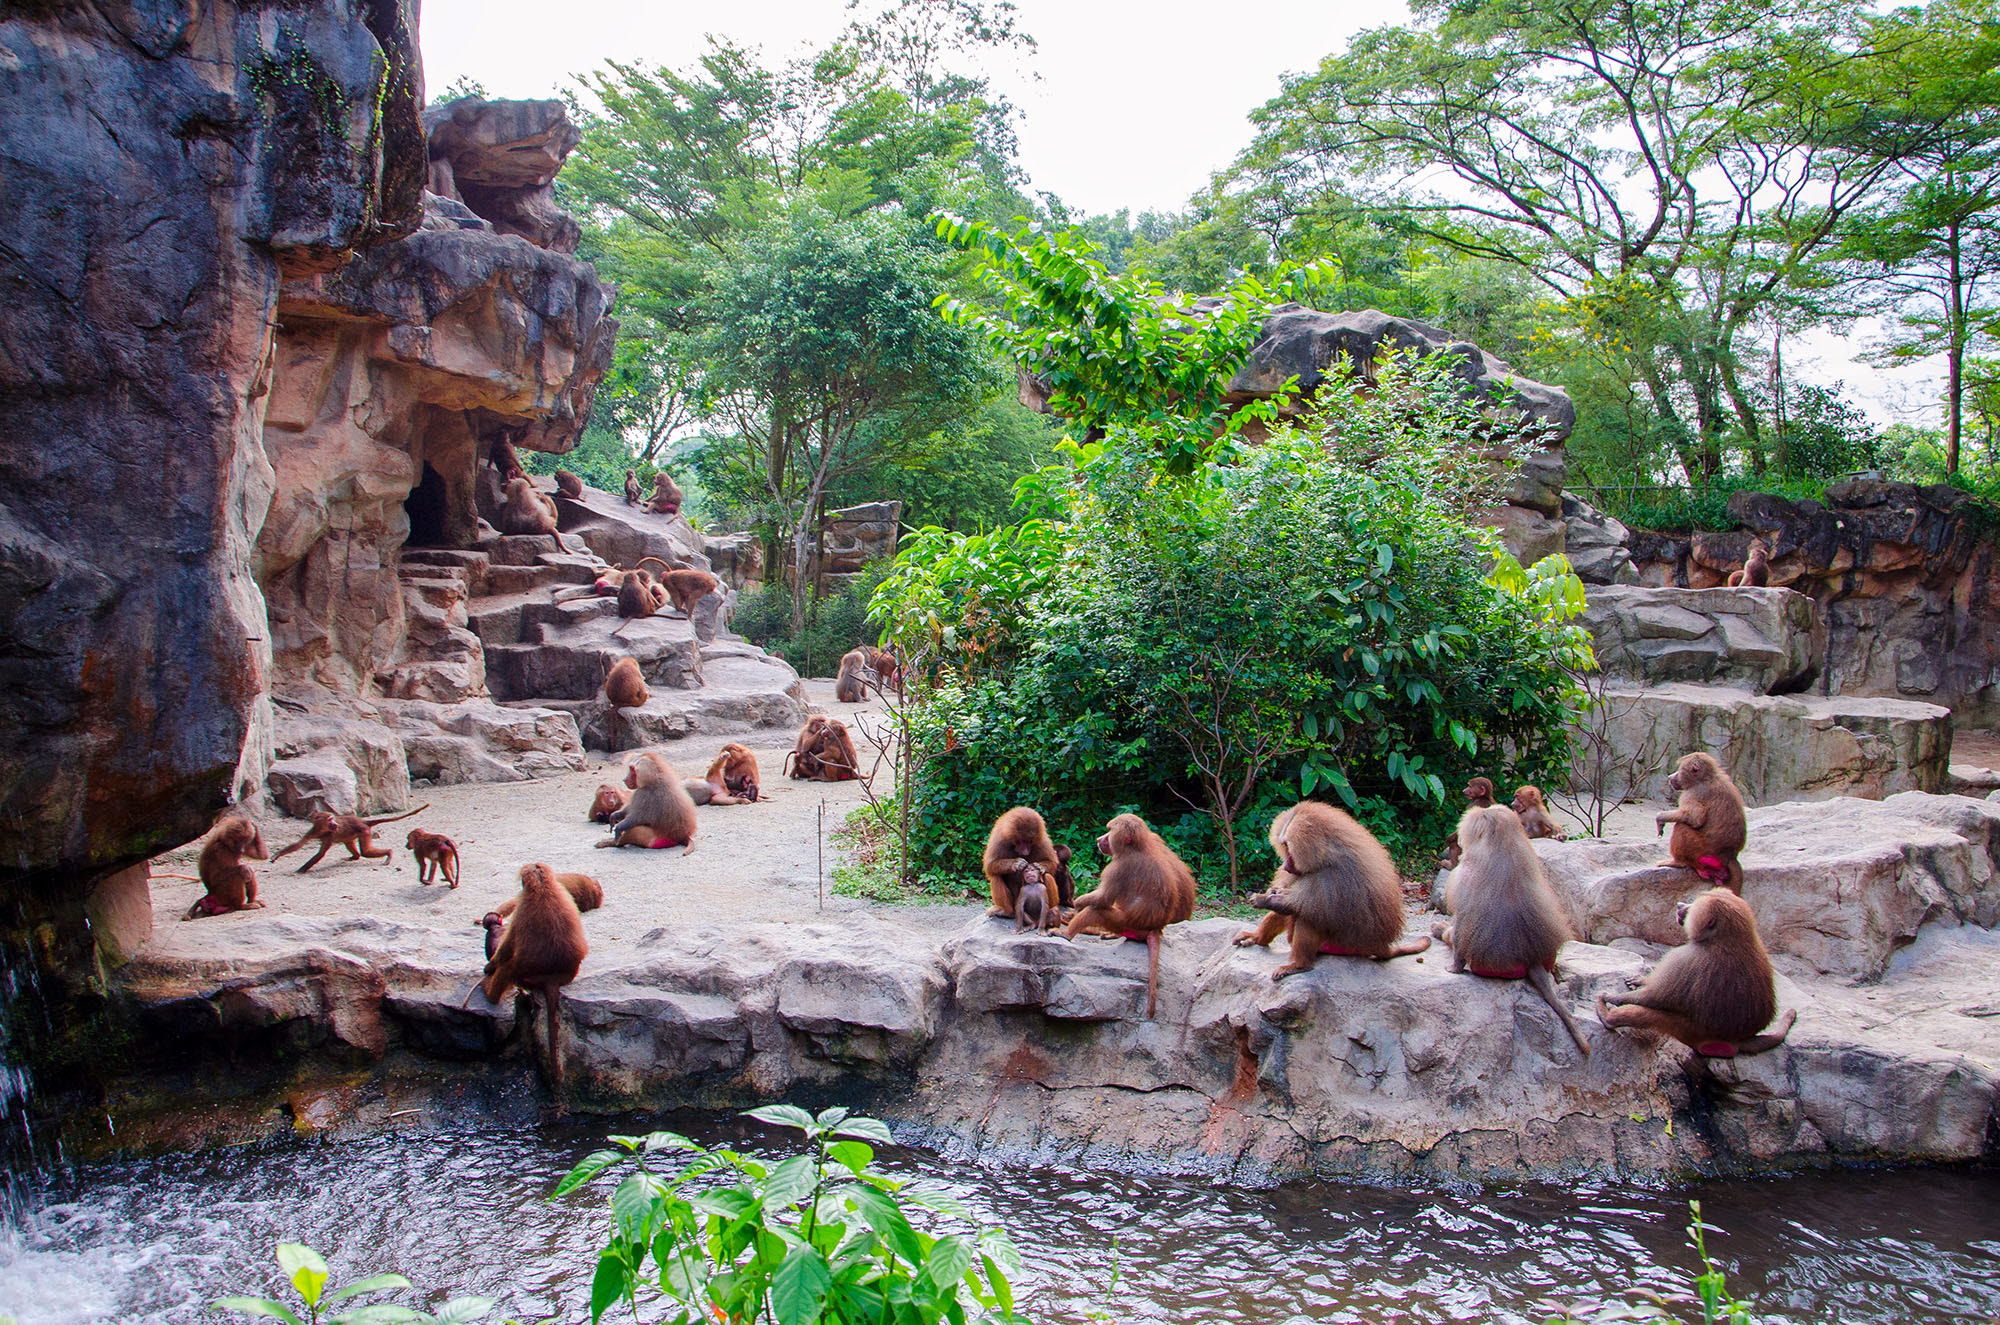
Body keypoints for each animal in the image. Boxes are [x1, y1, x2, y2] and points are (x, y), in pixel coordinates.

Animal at [272, 804, 428, 876]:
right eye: (330, 820)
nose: (335, 824)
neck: (322, 830)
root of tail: (362, 821)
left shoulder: (330, 835)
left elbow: (321, 854)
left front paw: (301, 869)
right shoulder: (313, 831)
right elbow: (299, 844)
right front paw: (277, 855)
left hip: (364, 831)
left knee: (365, 852)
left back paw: (389, 852)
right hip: (353, 835)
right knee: (355, 848)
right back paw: (354, 857)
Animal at [1240, 804, 1432, 980]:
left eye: (1288, 846)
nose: (1286, 866)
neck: (1326, 857)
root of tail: (1378, 946)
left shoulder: (1332, 879)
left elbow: (1300, 907)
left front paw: (1263, 900)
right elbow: (1286, 899)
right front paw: (1272, 893)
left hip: (1343, 946)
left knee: (1308, 916)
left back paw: (1298, 965)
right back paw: (1257, 938)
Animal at [1440, 800, 1592, 1056]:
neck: (1501, 843)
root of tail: (1532, 959)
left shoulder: (1466, 873)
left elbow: (1461, 924)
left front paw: (1454, 968)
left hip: (1489, 967)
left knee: (1454, 934)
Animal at [1592, 888, 1800, 1064]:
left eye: (1693, 906)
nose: (1679, 905)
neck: (1726, 938)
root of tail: (1737, 1041)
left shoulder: (1686, 957)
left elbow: (1653, 997)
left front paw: (1614, 997)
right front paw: (1640, 979)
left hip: (1690, 1032)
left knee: (1644, 1014)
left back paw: (1607, 1015)